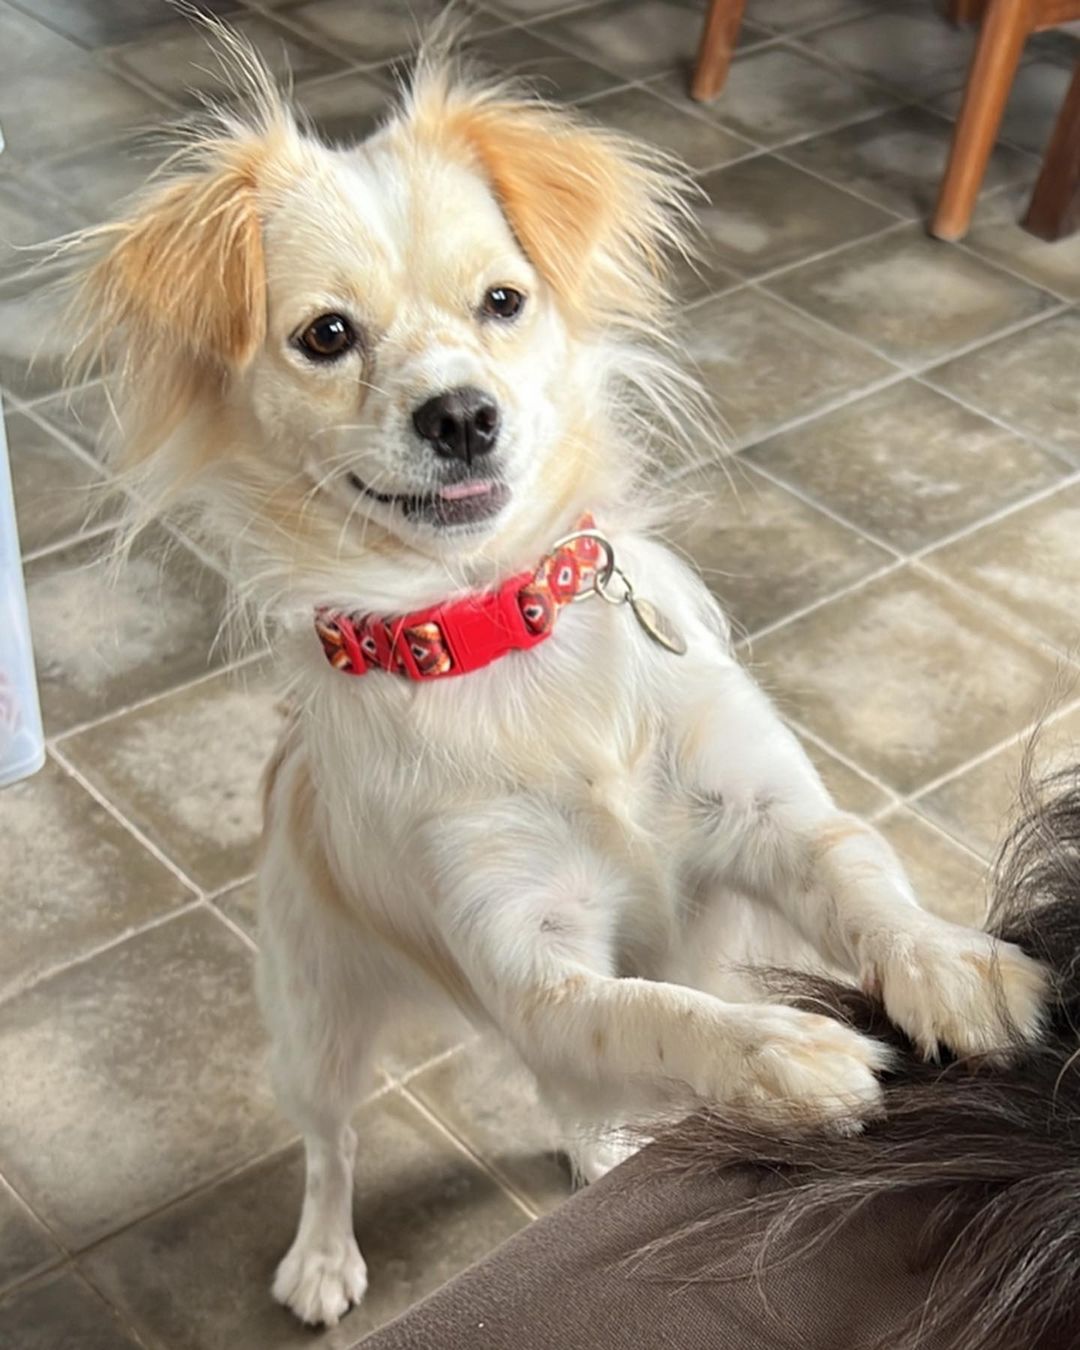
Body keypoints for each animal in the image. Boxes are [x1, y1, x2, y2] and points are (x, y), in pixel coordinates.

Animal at [67, 39, 1047, 1328]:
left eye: (504, 302)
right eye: (326, 337)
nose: (461, 414)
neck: (505, 631)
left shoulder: (770, 817)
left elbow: (859, 879)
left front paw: (953, 967)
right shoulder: (535, 969)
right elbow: (658, 1011)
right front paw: (779, 1053)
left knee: (567, 1093)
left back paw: (597, 1148)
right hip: (313, 1025)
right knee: (333, 1145)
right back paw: (323, 1257)